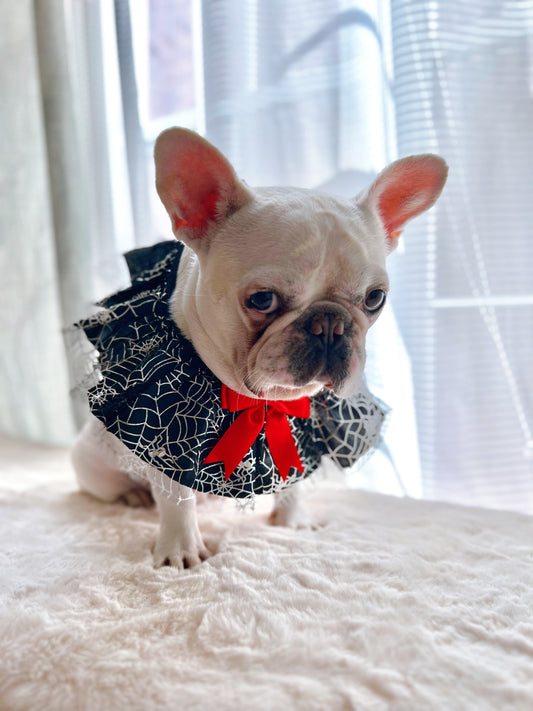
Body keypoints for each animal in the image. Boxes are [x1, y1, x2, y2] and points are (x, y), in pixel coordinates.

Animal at [69, 128, 444, 572]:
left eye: (374, 299)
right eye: (262, 299)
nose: (330, 324)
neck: (261, 400)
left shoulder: (301, 432)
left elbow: (294, 477)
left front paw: (293, 522)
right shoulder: (166, 438)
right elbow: (176, 500)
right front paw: (180, 551)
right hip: (94, 466)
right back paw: (133, 495)